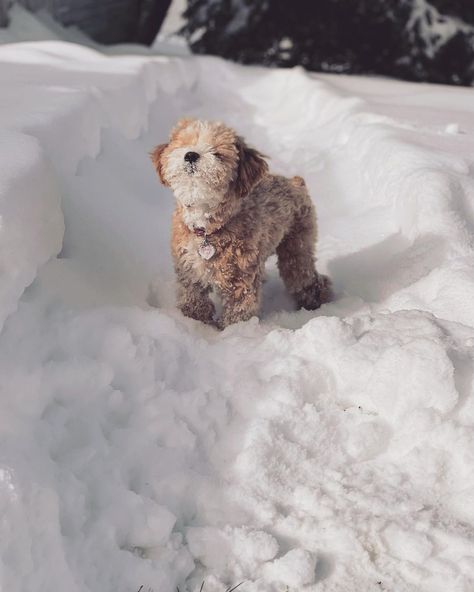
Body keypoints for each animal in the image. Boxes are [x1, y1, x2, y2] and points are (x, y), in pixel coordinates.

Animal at [150, 117, 332, 328]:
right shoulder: (189, 271)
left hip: (297, 244)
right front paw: (196, 323)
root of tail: (295, 181)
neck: (207, 228)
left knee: (304, 276)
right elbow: (193, 301)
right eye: (183, 143)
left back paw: (316, 301)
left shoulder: (240, 279)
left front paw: (231, 332)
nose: (191, 155)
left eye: (217, 153)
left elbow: (238, 312)